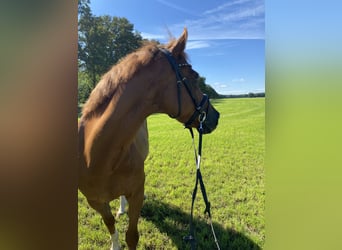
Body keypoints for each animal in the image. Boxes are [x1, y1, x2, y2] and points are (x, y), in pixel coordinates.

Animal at [78, 28, 219, 249]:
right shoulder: (95, 201)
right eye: (194, 76)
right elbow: (110, 224)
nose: (215, 116)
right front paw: (115, 244)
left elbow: (131, 236)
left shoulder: (137, 194)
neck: (97, 156)